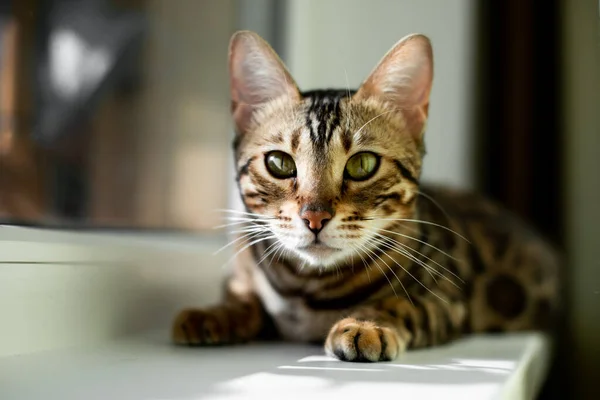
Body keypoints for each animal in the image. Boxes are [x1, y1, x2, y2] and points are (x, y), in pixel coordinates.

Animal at [171, 31, 560, 362]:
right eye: (279, 163)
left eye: (362, 164)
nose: (315, 217)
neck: (306, 289)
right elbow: (245, 295)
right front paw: (215, 311)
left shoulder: (446, 298)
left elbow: (399, 304)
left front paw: (366, 324)